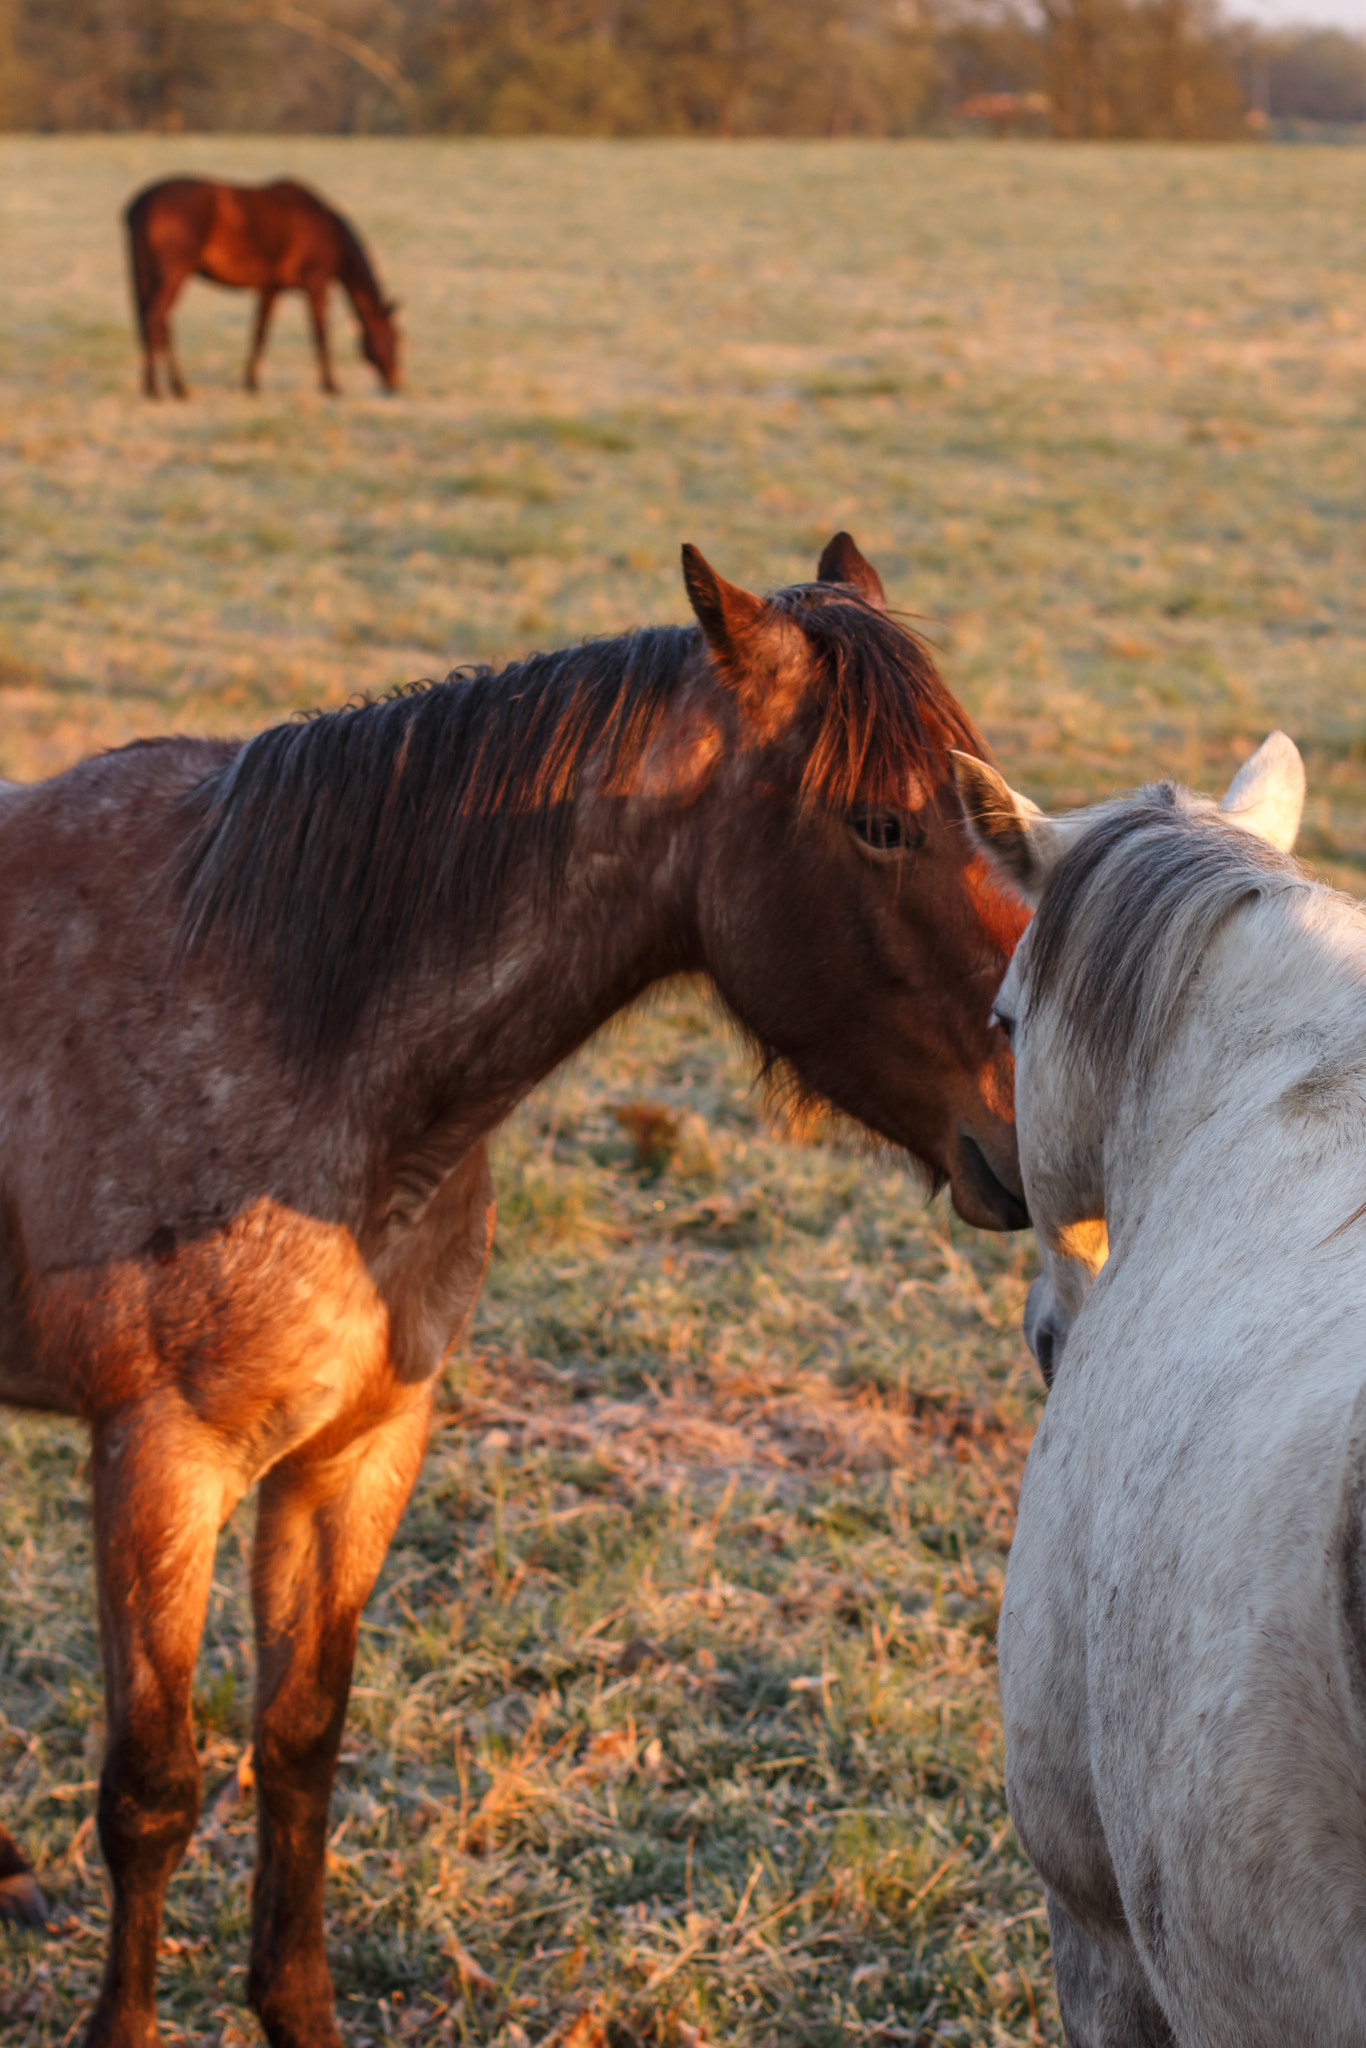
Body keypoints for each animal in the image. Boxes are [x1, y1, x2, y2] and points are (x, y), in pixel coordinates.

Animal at [0, 536, 1023, 2039]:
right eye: (881, 827)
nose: (1034, 1116)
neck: (293, 1024)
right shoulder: (158, 1458)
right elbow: (152, 1793)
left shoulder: (358, 1450)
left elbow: (298, 1746)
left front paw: (296, 2009)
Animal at [123, 178, 403, 401]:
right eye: (395, 338)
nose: (395, 384)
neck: (327, 230)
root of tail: (138, 205)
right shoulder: (316, 282)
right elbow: (320, 333)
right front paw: (331, 385)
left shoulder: (271, 287)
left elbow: (260, 332)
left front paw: (251, 383)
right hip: (174, 274)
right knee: (155, 320)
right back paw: (161, 389)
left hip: (149, 275)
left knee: (156, 324)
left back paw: (169, 387)